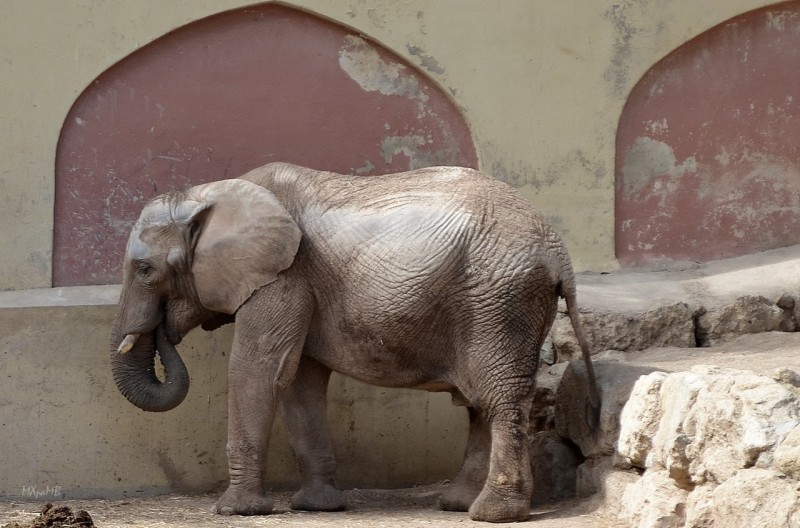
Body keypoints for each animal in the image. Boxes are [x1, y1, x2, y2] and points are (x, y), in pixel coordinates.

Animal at [109, 162, 596, 524]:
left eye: (145, 270)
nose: (164, 330)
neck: (211, 193)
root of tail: (558, 252)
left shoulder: (283, 276)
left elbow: (259, 371)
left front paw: (235, 511)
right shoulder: (297, 285)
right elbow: (299, 380)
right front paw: (317, 507)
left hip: (499, 300)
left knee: (498, 398)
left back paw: (491, 514)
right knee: (481, 401)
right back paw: (458, 504)